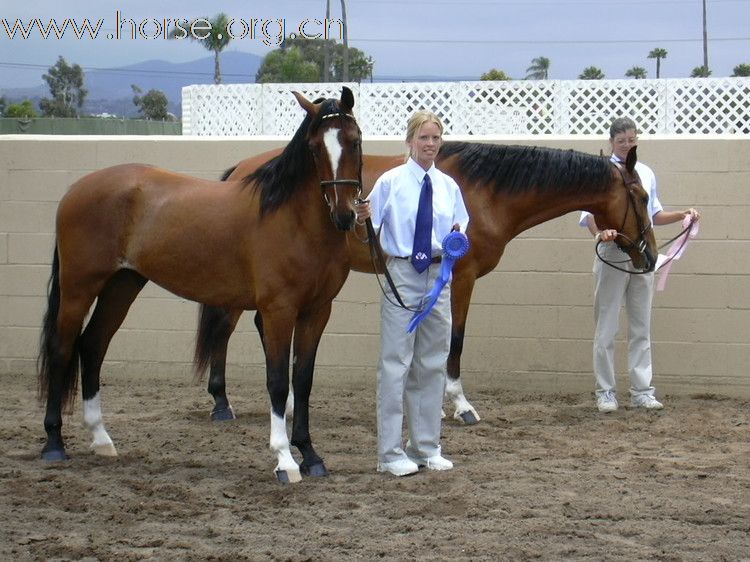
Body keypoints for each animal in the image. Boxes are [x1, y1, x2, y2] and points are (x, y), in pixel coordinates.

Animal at [39, 86, 368, 482]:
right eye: (315, 147)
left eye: (354, 140)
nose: (345, 215)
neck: (293, 220)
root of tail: (76, 189)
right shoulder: (278, 311)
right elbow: (277, 382)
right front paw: (285, 460)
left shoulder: (317, 312)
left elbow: (302, 381)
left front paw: (311, 455)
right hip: (78, 288)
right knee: (62, 348)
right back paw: (54, 443)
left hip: (122, 285)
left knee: (92, 346)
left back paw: (101, 439)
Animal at [195, 142, 656, 422]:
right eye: (642, 197)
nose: (650, 254)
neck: (486, 193)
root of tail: (242, 170)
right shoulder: (462, 277)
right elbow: (456, 339)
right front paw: (460, 404)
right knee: (226, 327)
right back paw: (223, 403)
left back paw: (281, 403)